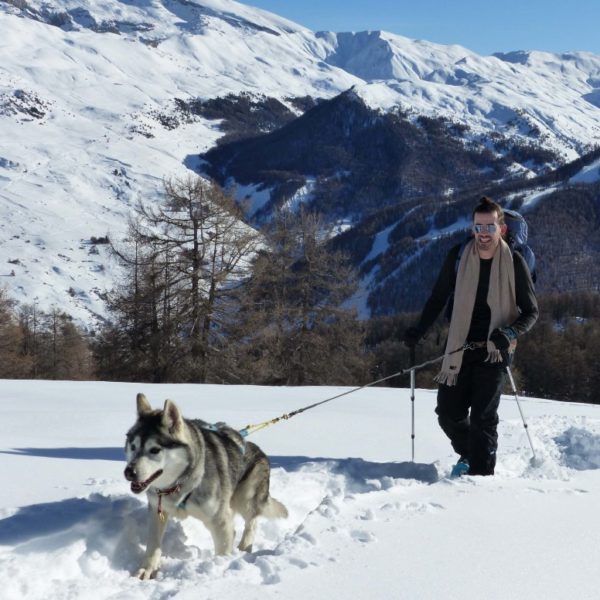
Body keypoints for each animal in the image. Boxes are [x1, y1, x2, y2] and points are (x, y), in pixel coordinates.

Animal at [124, 392, 288, 580]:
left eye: (155, 450)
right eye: (133, 446)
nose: (129, 472)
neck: (180, 485)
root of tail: (257, 450)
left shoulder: (220, 522)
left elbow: (223, 548)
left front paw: (221, 569)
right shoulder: (158, 511)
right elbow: (153, 544)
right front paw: (147, 569)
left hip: (245, 498)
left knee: (251, 523)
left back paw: (243, 550)